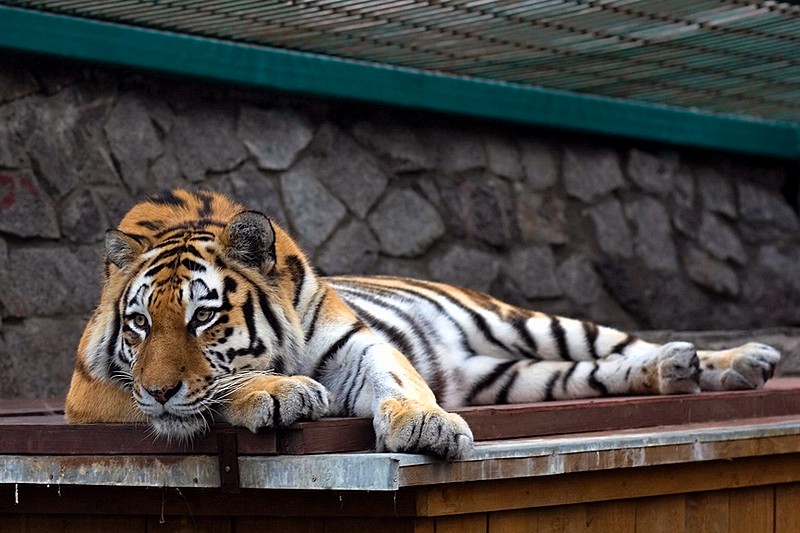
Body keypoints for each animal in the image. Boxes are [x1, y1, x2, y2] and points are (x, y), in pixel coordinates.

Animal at [67, 189, 780, 460]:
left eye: (204, 316)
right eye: (138, 325)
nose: (159, 390)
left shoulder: (358, 345)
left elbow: (397, 380)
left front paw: (426, 426)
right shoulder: (92, 395)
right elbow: (220, 390)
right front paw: (278, 392)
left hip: (533, 325)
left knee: (621, 343)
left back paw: (736, 359)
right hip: (516, 378)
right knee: (597, 372)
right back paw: (680, 369)